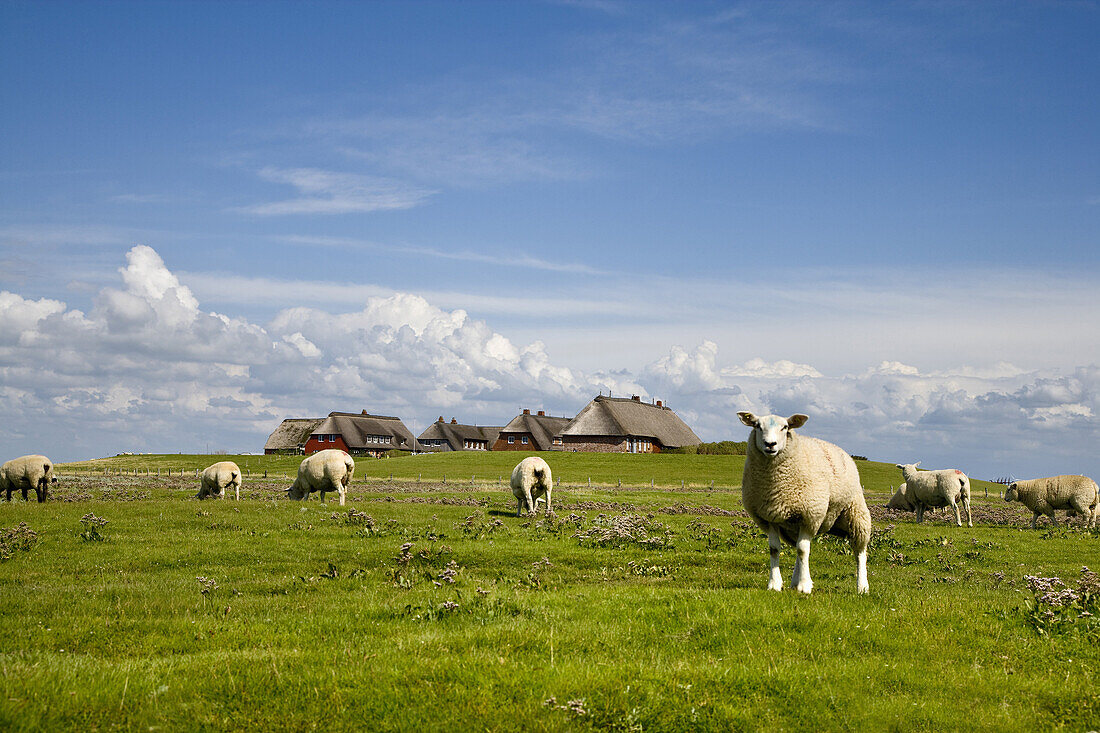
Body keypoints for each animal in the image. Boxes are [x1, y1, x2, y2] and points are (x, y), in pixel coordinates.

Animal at [734, 411, 871, 594]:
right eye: (757, 426)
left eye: (785, 427)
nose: (770, 444)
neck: (774, 483)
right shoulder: (770, 517)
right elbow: (775, 549)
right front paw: (775, 584)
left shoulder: (810, 516)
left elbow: (803, 550)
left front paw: (805, 584)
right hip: (795, 525)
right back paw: (794, 581)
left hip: (855, 513)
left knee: (860, 552)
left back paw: (862, 586)